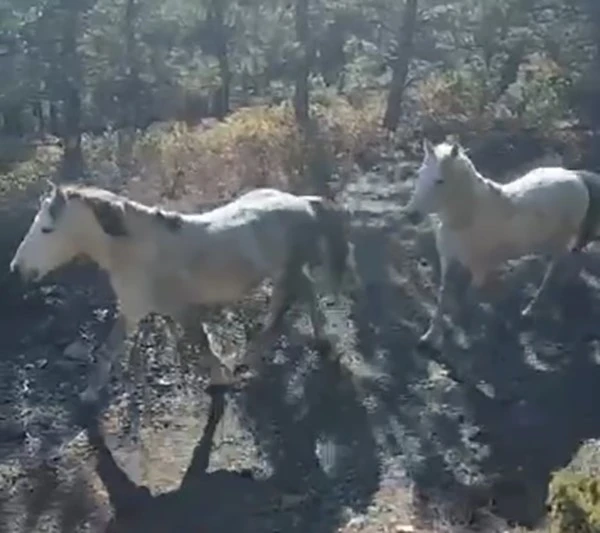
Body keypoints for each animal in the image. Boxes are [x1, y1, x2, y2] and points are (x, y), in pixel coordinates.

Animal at [9, 183, 352, 404]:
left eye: (47, 229)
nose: (17, 269)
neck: (136, 251)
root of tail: (303, 201)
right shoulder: (132, 309)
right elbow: (107, 350)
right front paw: (89, 393)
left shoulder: (179, 309)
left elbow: (201, 342)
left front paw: (219, 380)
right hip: (286, 272)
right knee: (304, 294)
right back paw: (319, 340)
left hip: (287, 271)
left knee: (285, 308)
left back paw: (250, 359)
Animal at [404, 137, 600, 350]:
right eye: (419, 175)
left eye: (440, 180)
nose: (411, 215)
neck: (467, 218)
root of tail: (577, 177)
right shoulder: (448, 262)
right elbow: (442, 299)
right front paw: (429, 336)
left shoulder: (479, 271)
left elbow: (467, 301)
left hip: (560, 244)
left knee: (553, 271)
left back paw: (530, 310)